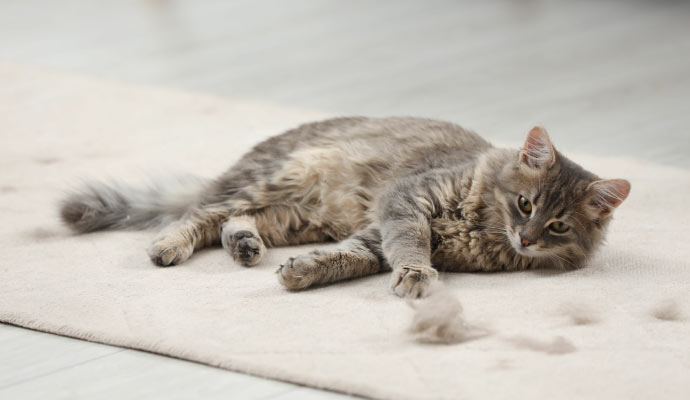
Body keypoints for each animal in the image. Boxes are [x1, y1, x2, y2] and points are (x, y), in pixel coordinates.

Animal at [60, 115, 628, 296]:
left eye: (557, 226)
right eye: (525, 204)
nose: (526, 238)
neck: (482, 229)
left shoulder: (373, 233)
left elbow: (349, 259)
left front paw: (301, 273)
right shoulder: (406, 204)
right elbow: (410, 247)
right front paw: (417, 275)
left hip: (295, 217)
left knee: (231, 222)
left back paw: (245, 245)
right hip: (277, 180)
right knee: (199, 215)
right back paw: (170, 245)